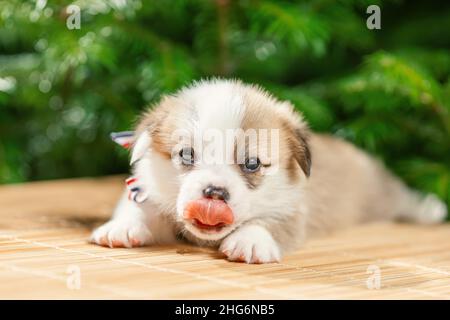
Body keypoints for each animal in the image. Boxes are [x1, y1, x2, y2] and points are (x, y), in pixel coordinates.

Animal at [89, 79, 448, 262]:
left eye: (251, 163)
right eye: (187, 155)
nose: (214, 193)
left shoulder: (292, 212)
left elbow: (267, 223)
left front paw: (250, 240)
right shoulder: (144, 191)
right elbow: (141, 208)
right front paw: (122, 227)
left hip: (381, 194)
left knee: (401, 196)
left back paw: (429, 209)